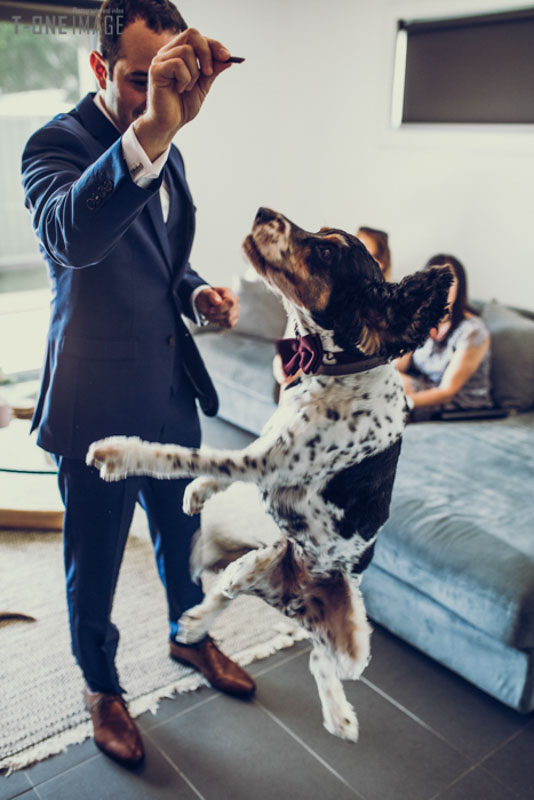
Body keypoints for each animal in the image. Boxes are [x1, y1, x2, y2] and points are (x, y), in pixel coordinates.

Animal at [89, 208, 452, 744]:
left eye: (325, 251)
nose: (264, 212)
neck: (337, 373)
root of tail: (296, 597)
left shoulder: (269, 461)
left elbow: (190, 454)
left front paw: (120, 452)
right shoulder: (266, 444)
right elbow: (216, 463)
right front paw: (197, 493)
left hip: (355, 648)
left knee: (320, 661)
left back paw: (339, 716)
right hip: (249, 568)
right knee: (225, 594)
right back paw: (194, 624)